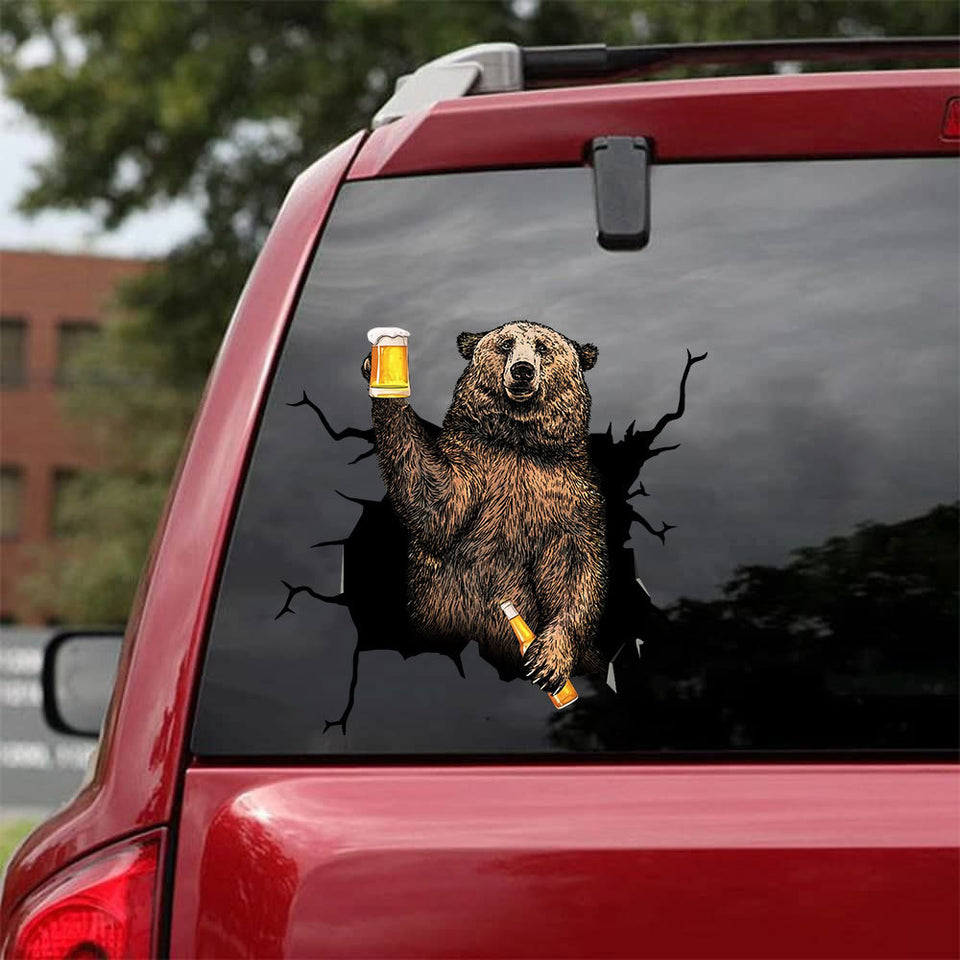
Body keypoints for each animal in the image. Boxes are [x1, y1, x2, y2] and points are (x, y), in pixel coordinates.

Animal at [362, 321, 608, 694]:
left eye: (543, 347)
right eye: (505, 344)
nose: (522, 370)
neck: (518, 442)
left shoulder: (569, 497)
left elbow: (574, 566)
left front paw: (548, 662)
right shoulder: (475, 467)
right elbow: (435, 501)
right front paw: (382, 375)